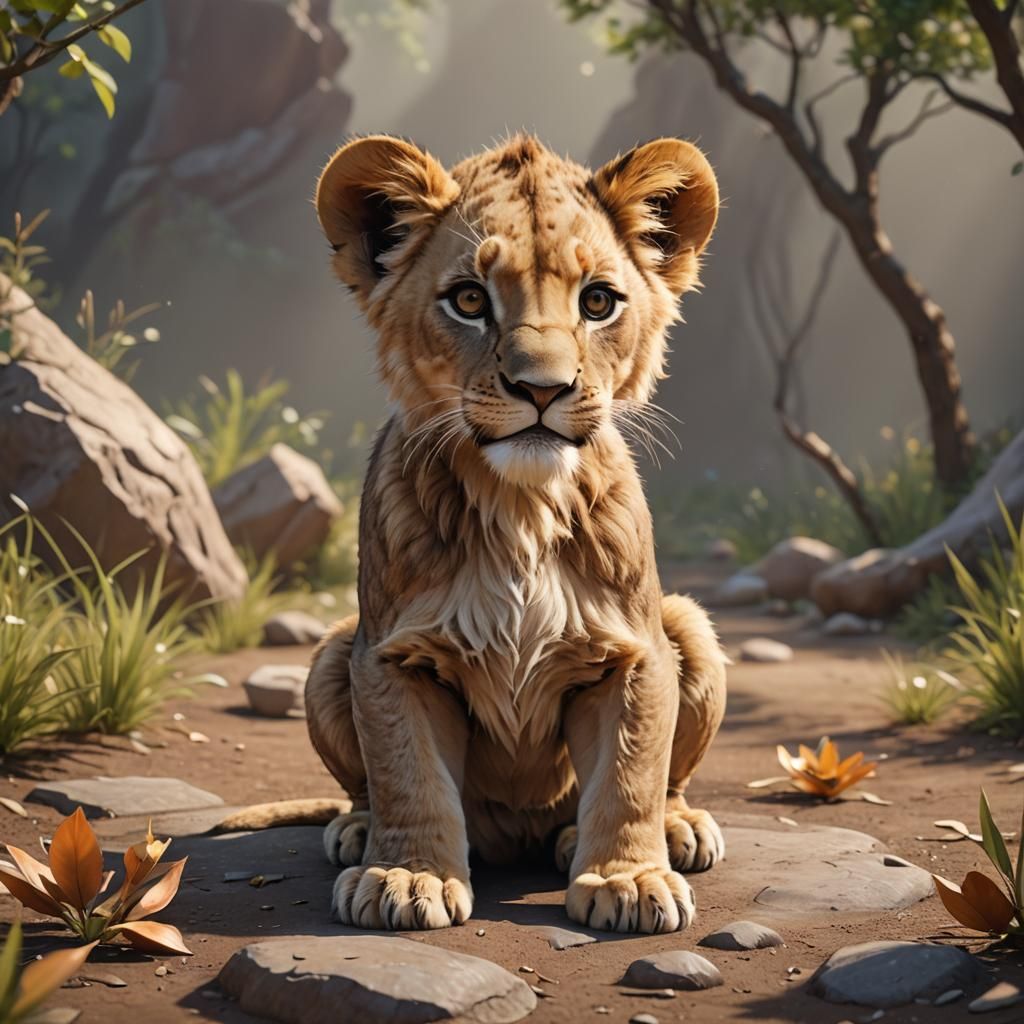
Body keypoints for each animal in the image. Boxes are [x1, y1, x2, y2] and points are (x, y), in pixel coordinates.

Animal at [303, 132, 726, 934]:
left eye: (598, 301)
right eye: (470, 299)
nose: (542, 388)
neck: (522, 506)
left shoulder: (635, 651)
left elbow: (631, 772)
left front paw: (629, 879)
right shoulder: (390, 654)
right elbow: (406, 772)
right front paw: (407, 876)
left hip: (689, 624)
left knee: (667, 780)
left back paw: (675, 830)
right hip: (333, 650)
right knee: (366, 786)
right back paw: (356, 830)